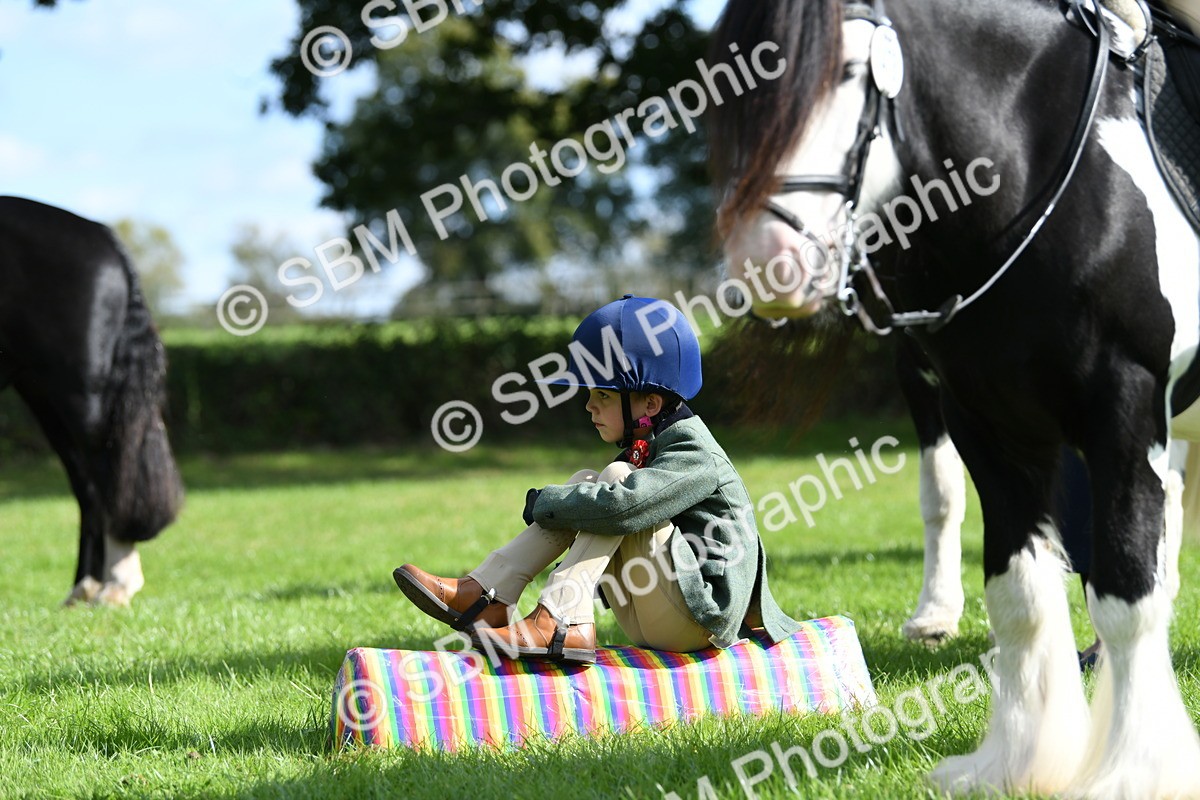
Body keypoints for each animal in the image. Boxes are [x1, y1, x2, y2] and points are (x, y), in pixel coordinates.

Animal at [0, 197, 183, 606]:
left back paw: (116, 582)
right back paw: (84, 586)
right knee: (87, 487)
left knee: (106, 473)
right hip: (44, 395)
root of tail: (103, 237)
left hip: (82, 394)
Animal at [710, 0, 1200, 796]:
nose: (766, 259)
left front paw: (1134, 772)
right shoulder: (983, 419)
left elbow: (1127, 590)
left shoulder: (1124, 411)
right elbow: (1019, 591)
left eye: (850, 71)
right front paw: (1015, 763)